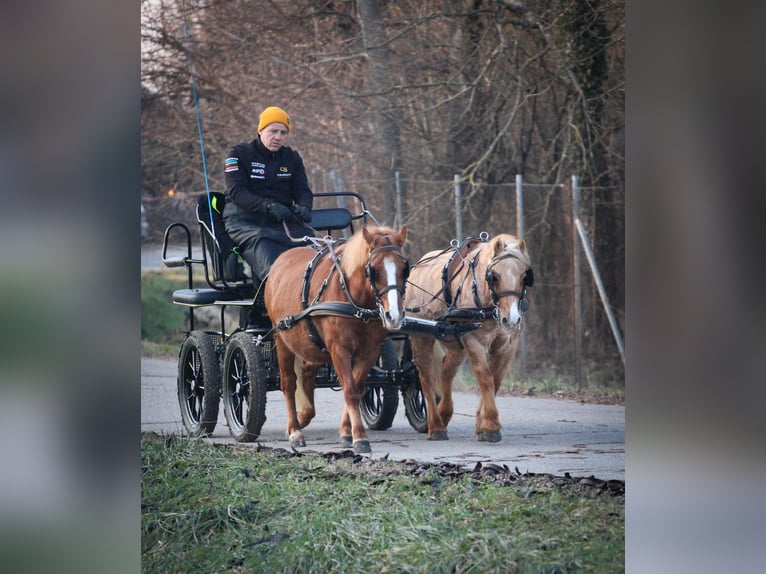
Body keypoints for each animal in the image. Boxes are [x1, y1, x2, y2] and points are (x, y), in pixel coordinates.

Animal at [264, 225, 408, 454]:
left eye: (405, 269)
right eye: (374, 270)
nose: (393, 316)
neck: (355, 303)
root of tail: (281, 259)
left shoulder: (369, 353)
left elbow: (357, 388)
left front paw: (346, 433)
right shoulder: (339, 350)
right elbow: (350, 391)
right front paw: (360, 437)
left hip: (312, 345)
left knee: (307, 375)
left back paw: (303, 416)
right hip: (281, 338)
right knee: (288, 383)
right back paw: (295, 430)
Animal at [408, 234, 536, 446]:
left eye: (524, 276)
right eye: (494, 276)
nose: (511, 319)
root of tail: (418, 266)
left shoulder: (508, 344)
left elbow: (496, 379)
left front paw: (482, 424)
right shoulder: (473, 340)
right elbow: (485, 377)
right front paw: (491, 426)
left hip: (455, 343)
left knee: (446, 371)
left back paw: (444, 414)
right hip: (421, 336)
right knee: (426, 377)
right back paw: (436, 426)